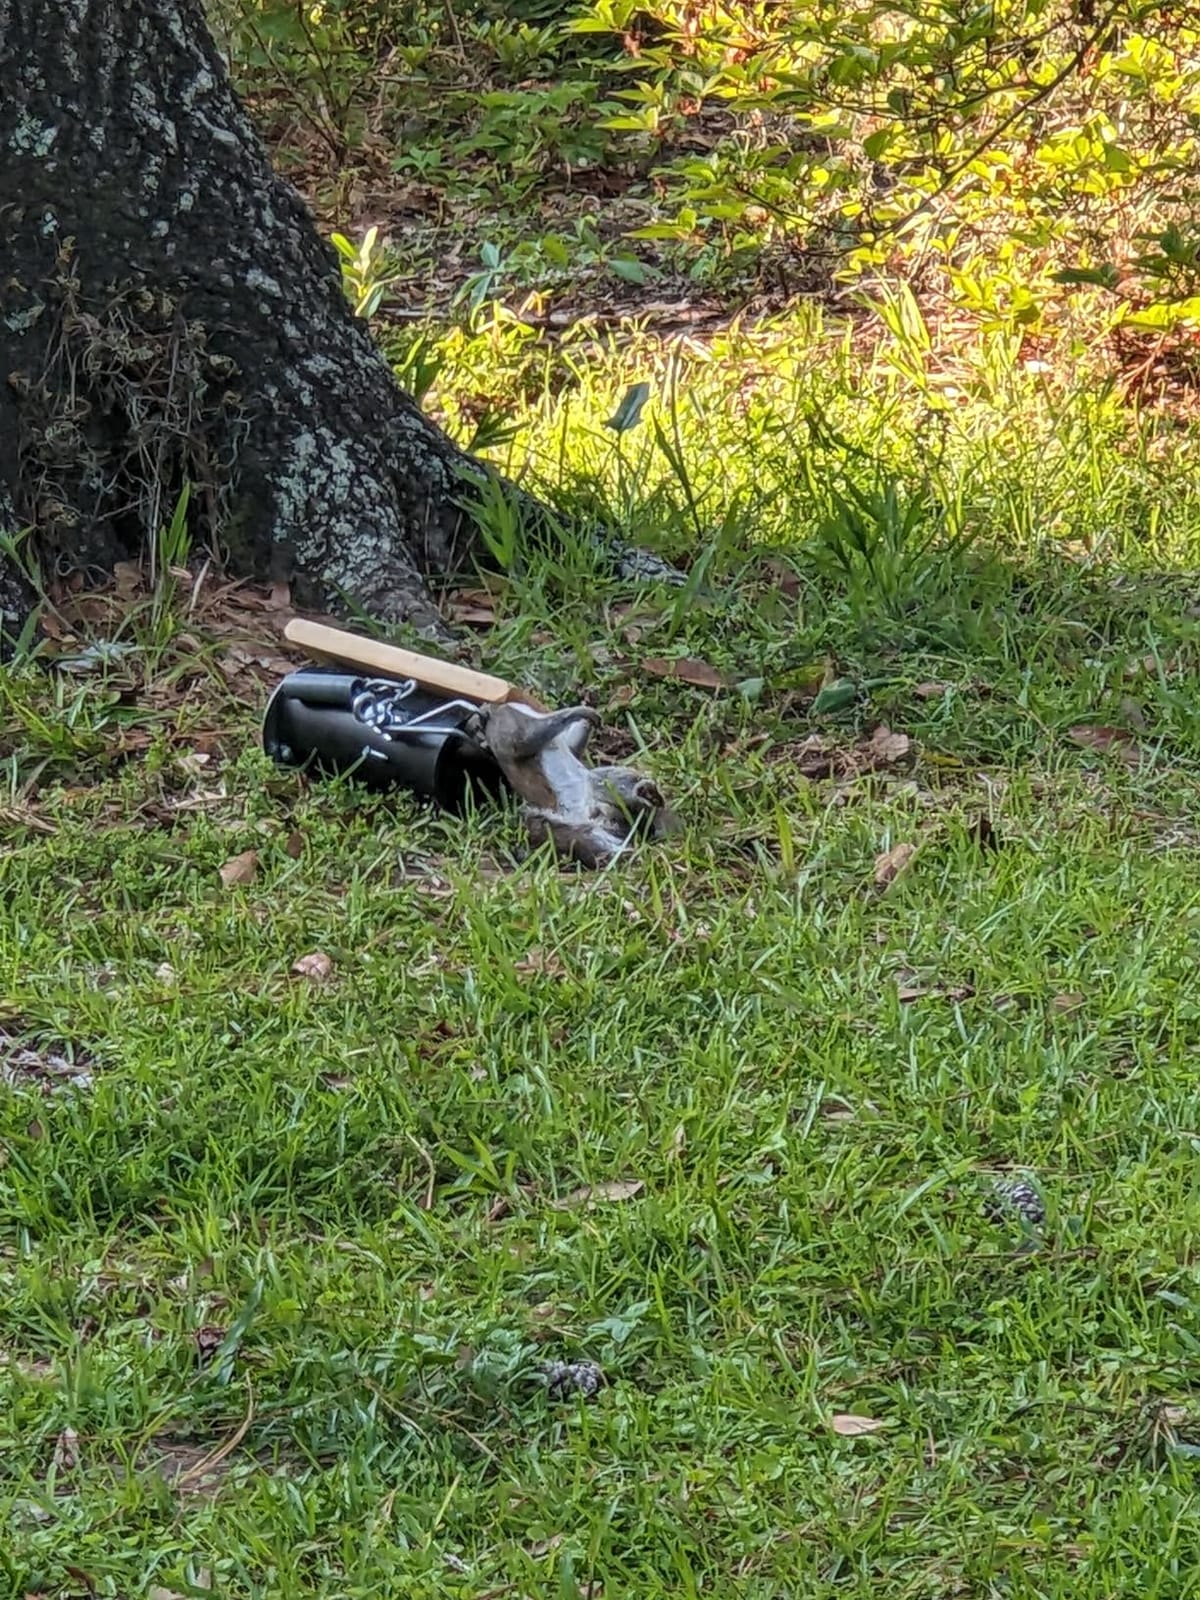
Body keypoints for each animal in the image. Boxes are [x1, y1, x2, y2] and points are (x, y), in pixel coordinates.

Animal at [480, 701, 676, 869]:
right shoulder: (509, 731)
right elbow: (526, 738)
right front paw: (580, 712)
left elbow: (571, 743)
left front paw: (586, 719)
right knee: (581, 838)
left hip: (599, 783)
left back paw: (647, 796)